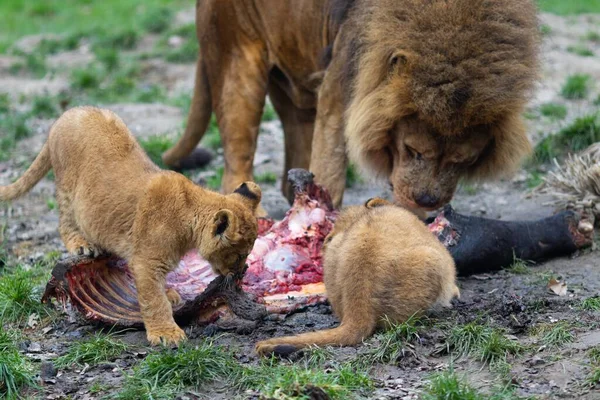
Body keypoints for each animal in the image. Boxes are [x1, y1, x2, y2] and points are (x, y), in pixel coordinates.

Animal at [1, 107, 262, 346]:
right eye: (238, 254)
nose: (240, 272)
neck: (190, 214)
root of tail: (66, 115)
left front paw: (169, 295)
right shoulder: (146, 261)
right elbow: (153, 299)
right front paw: (166, 334)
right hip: (67, 188)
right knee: (65, 221)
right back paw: (81, 245)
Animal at [161, 0, 540, 216]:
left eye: (463, 161)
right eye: (412, 150)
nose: (427, 200)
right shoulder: (341, 84)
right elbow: (330, 170)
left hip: (296, 81)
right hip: (238, 61)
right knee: (236, 163)